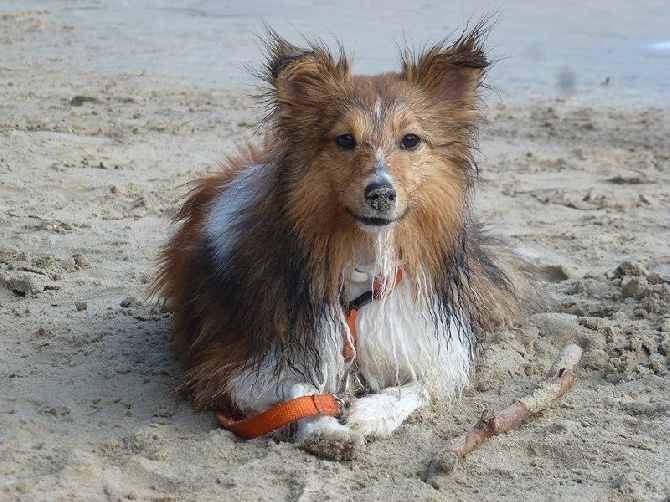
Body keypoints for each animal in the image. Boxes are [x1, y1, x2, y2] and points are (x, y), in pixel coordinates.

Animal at [159, 25, 540, 460]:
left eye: (410, 140)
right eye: (344, 140)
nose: (381, 193)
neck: (363, 262)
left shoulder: (435, 348)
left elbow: (419, 386)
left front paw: (372, 413)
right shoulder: (230, 366)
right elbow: (301, 390)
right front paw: (326, 430)